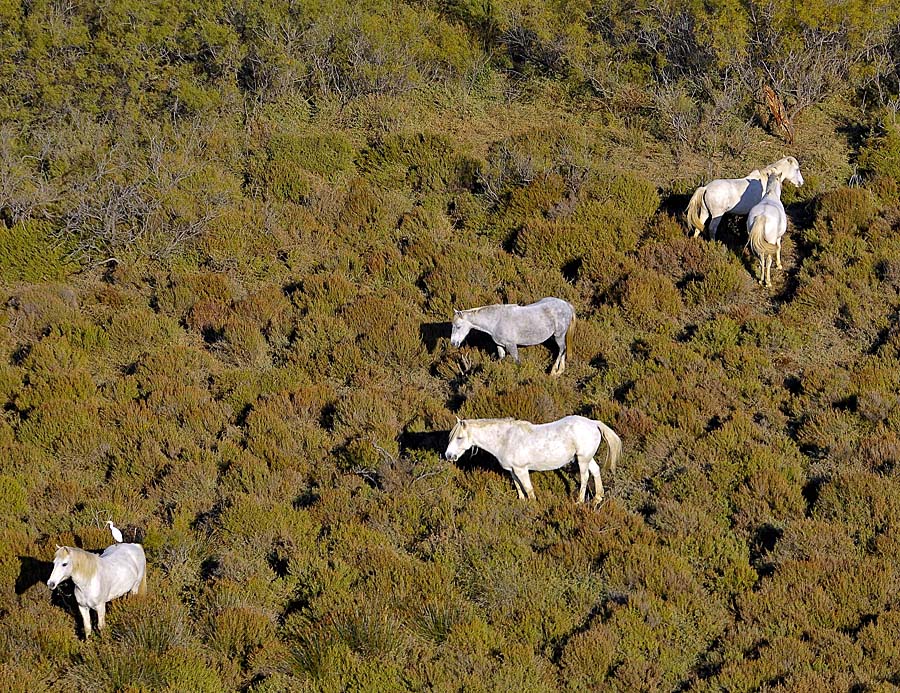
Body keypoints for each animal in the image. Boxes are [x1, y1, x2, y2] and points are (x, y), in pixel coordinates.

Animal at [442, 414, 620, 506]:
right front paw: (522, 502)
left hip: (582, 459)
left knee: (584, 477)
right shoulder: (513, 470)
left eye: (459, 437)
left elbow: (528, 489)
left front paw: (533, 506)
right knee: (595, 471)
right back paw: (597, 498)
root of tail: (593, 423)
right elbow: (518, 486)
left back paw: (579, 501)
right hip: (587, 457)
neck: (505, 439)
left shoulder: (522, 469)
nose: (449, 456)